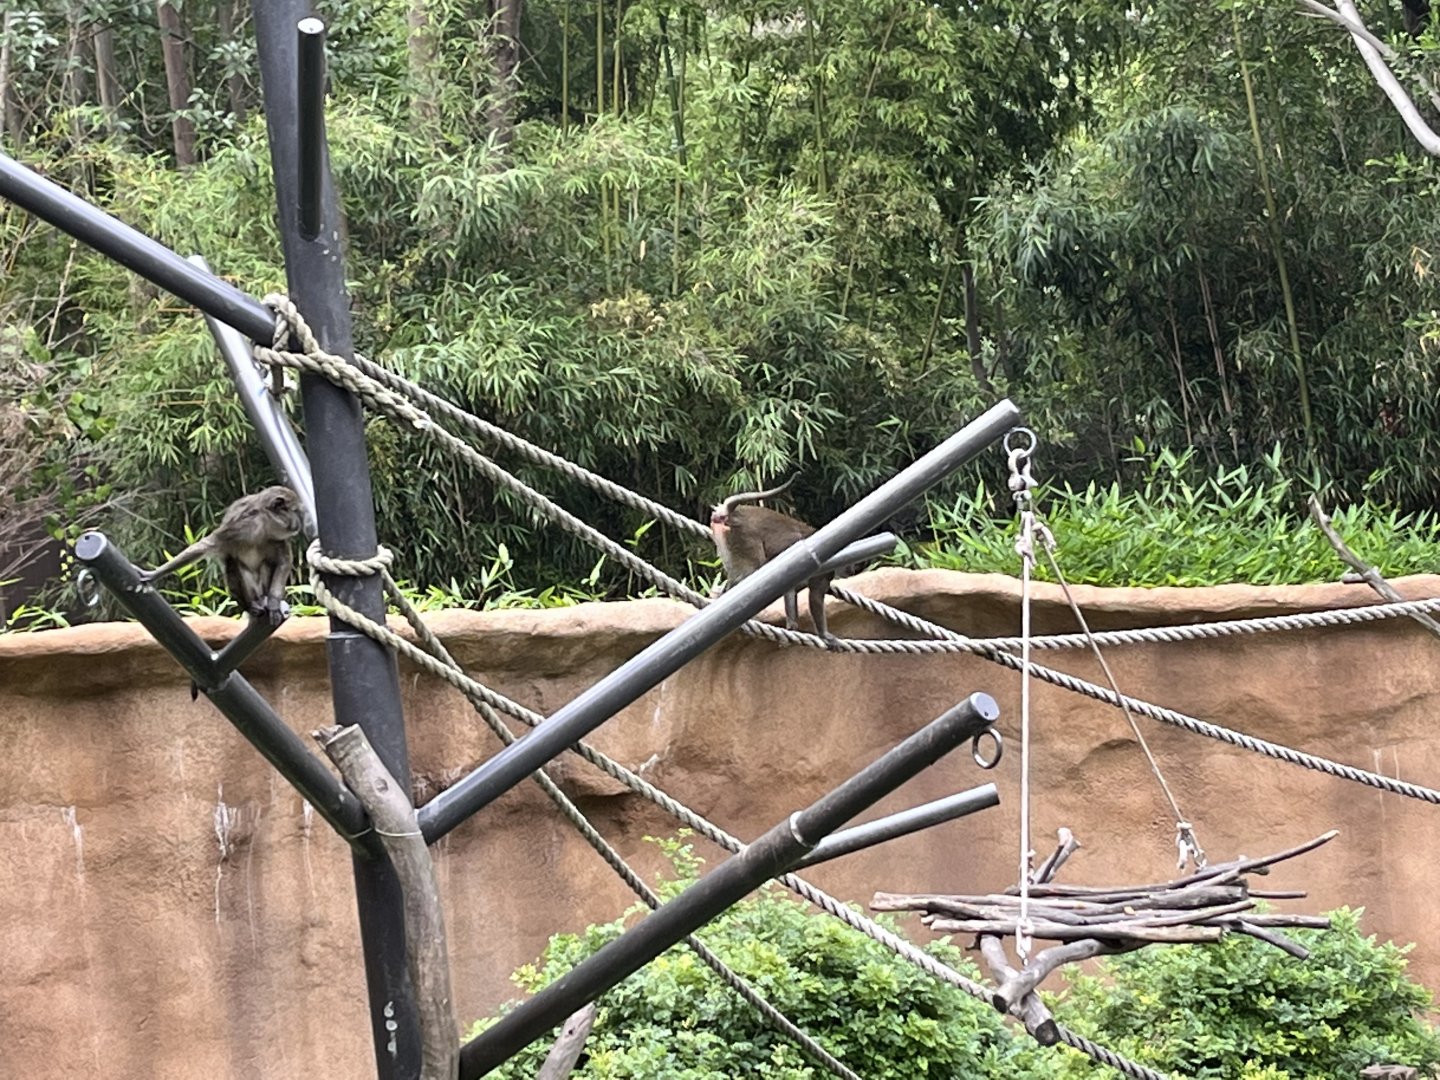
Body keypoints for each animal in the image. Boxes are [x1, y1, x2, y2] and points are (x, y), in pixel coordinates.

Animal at [139, 486, 305, 626]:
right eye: (295, 511)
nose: (298, 522)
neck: (263, 524)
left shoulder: (278, 540)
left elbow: (283, 562)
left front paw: (274, 604)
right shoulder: (237, 526)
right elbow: (205, 546)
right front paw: (154, 574)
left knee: (264, 565)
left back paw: (265, 599)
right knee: (234, 564)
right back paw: (251, 605)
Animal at [709, 475, 837, 645]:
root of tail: (730, 514)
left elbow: (790, 590)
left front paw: (791, 625)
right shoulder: (820, 571)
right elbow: (815, 596)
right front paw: (824, 634)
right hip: (744, 538)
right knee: (747, 574)